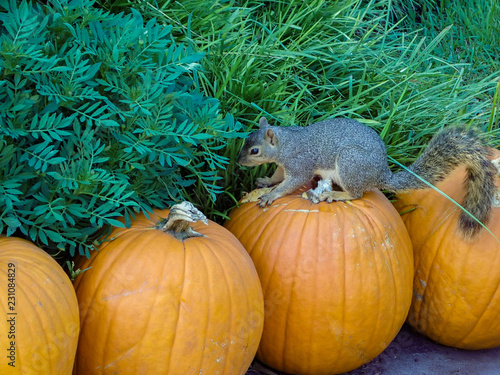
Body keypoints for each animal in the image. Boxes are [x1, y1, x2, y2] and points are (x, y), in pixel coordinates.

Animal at [238, 117, 496, 238]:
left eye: (255, 151)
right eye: (246, 141)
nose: (239, 162)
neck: (286, 143)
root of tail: (381, 175)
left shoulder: (300, 164)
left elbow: (291, 183)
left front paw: (271, 195)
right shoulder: (284, 166)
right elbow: (278, 176)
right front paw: (266, 183)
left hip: (350, 163)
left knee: (357, 193)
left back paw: (335, 194)